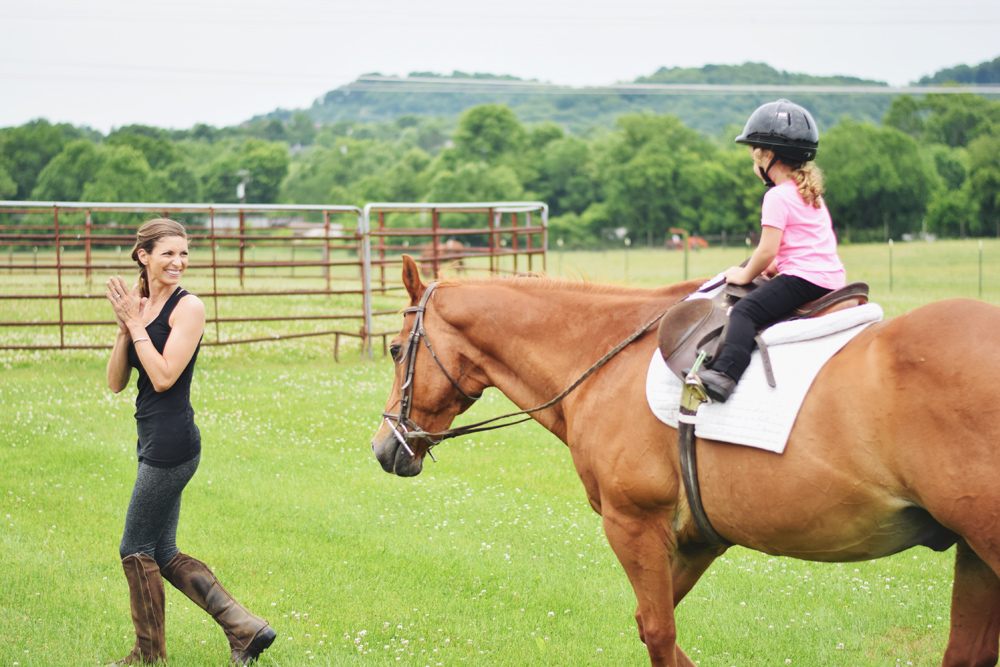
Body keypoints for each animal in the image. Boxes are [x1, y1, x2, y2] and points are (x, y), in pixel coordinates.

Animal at [370, 258, 1000, 667]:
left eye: (397, 349)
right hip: (975, 554)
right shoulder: (697, 539)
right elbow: (658, 631)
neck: (606, 360)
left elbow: (657, 632)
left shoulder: (634, 525)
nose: (383, 447)